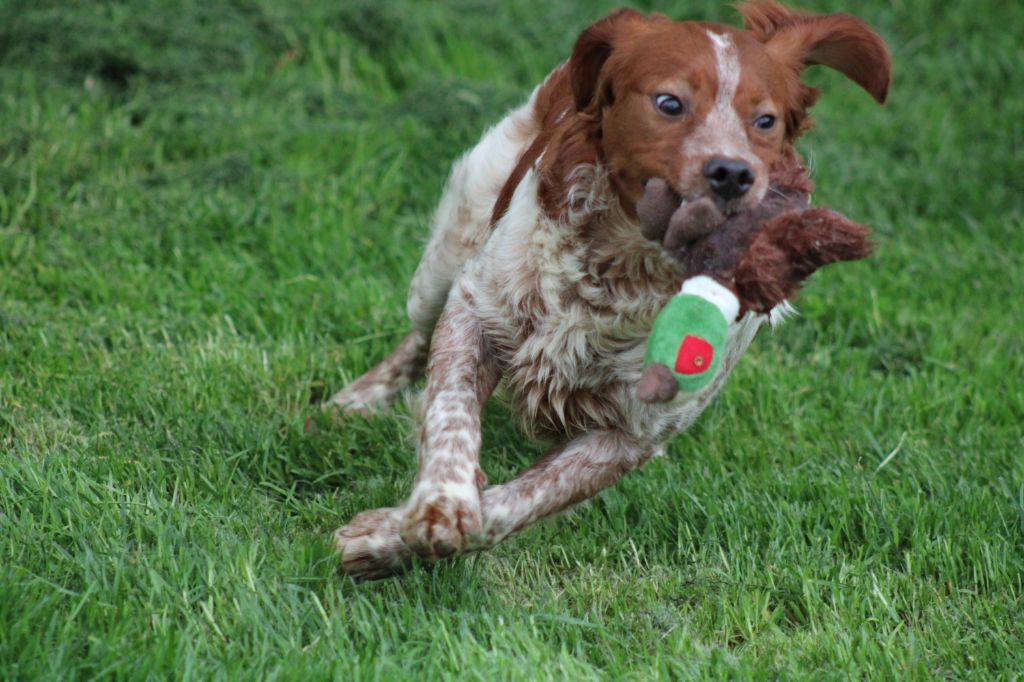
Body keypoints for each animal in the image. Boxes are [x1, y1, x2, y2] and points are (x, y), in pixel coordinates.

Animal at [325, 0, 888, 577]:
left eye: (765, 120)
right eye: (669, 102)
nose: (732, 173)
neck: (624, 268)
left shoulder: (630, 434)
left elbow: (516, 503)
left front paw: (385, 539)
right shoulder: (475, 310)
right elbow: (449, 414)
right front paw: (440, 504)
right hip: (443, 260)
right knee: (418, 339)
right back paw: (349, 405)